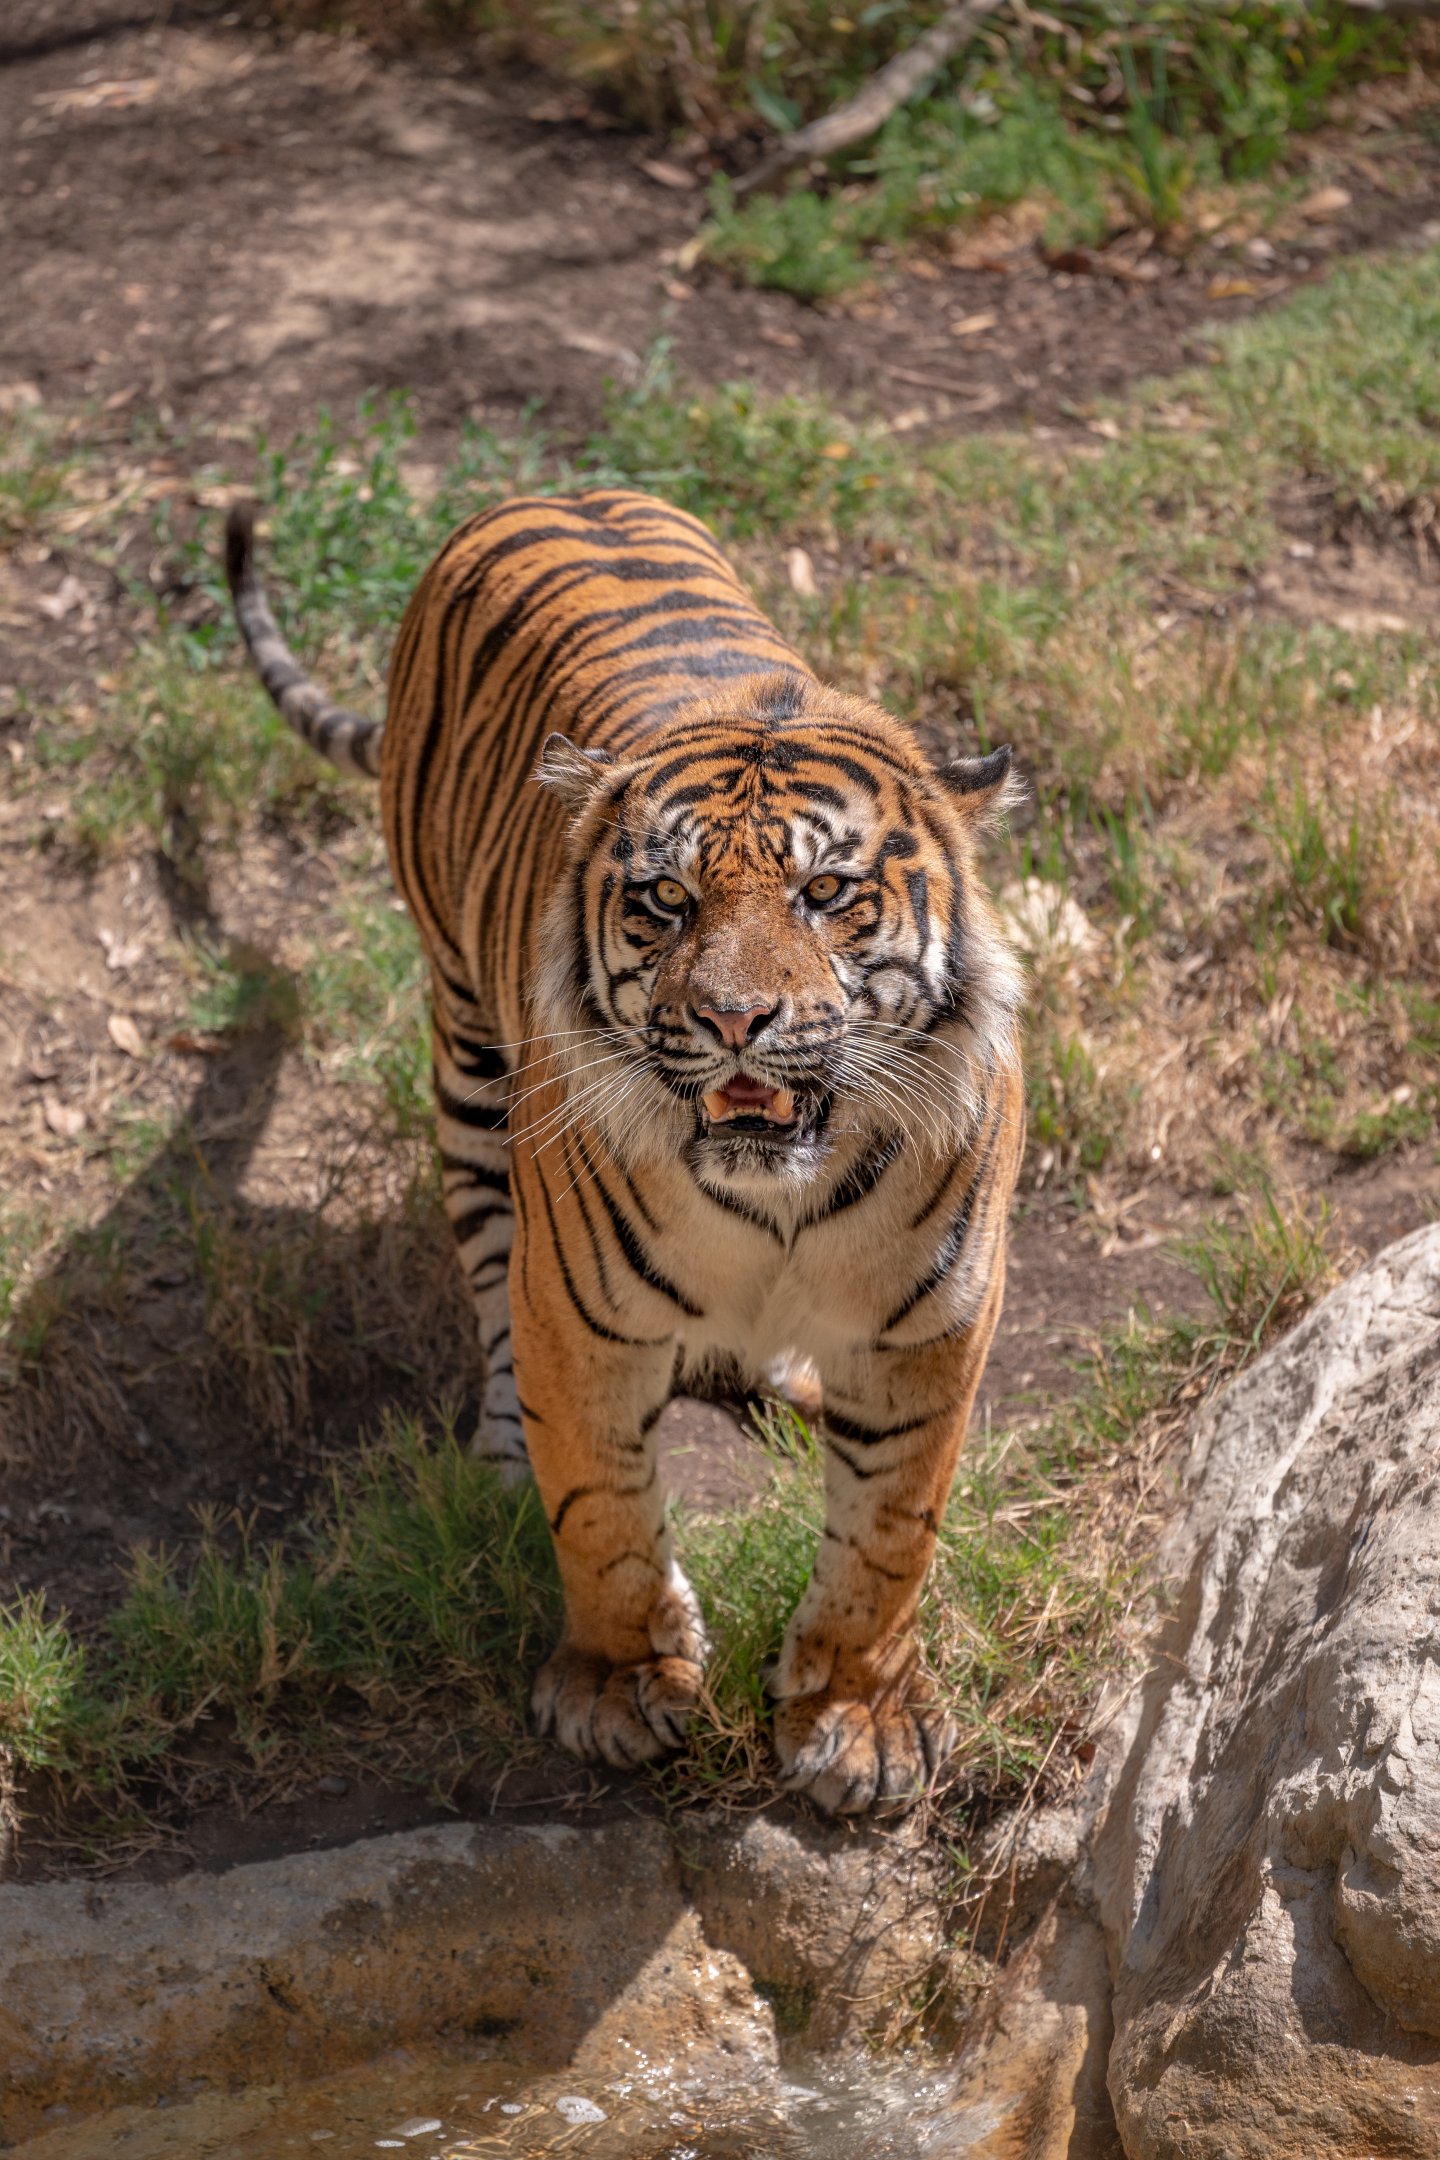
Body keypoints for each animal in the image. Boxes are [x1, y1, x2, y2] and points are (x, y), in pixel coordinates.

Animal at [226, 486, 1025, 1815]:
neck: (778, 1208)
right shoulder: (579, 1319)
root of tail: (546, 492)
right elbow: (599, 1512)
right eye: (664, 901)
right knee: (489, 1283)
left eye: (827, 894)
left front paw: (857, 1720)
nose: (735, 1018)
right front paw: (616, 1690)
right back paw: (504, 1452)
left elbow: (890, 1532)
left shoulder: (933, 1324)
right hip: (468, 1067)